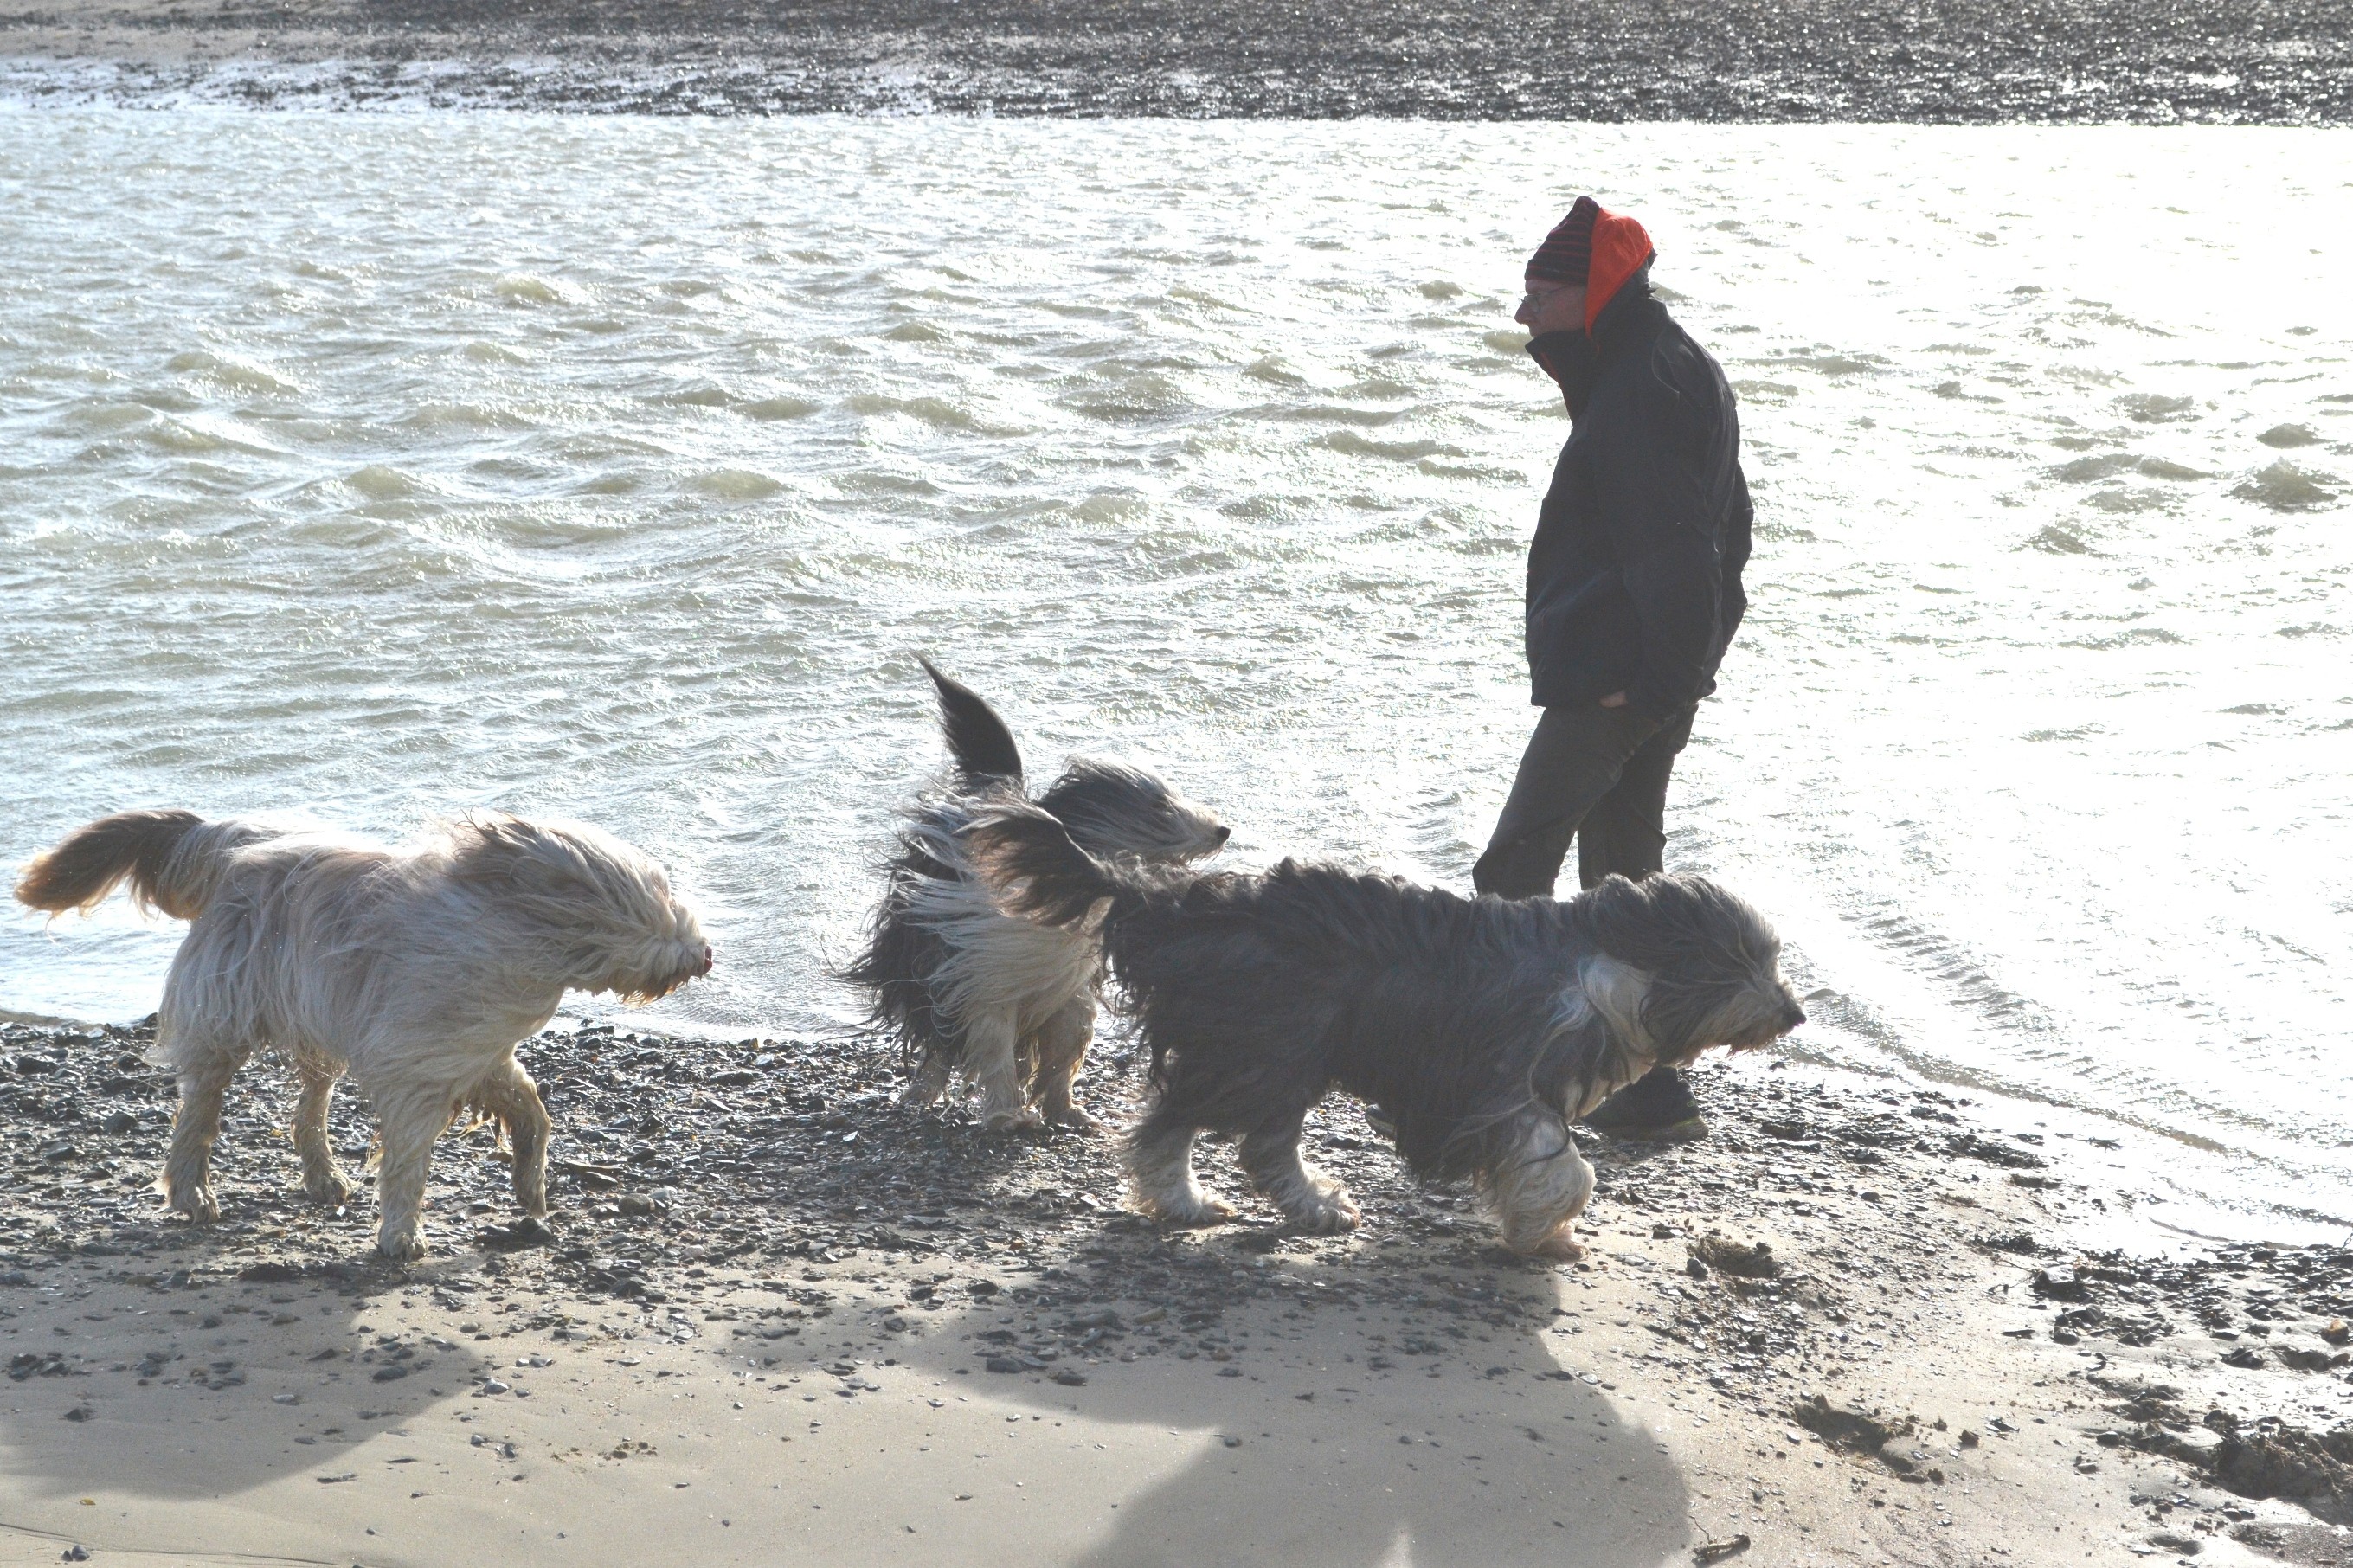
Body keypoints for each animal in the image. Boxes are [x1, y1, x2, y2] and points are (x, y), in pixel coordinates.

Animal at [13, 805, 710, 1262]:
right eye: (651, 906)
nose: (705, 955)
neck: (505, 928)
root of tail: (232, 838)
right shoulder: (417, 1064)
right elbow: (408, 1161)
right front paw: (402, 1234)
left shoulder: (476, 1049)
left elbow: (532, 1110)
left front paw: (530, 1188)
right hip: (228, 1012)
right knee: (199, 1111)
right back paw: (193, 1193)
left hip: (318, 1020)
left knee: (309, 1108)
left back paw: (322, 1176)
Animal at [842, 654, 1232, 1125]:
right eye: (1160, 807)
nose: (1223, 830)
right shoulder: (982, 978)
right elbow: (993, 1050)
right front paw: (1005, 1114)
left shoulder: (1067, 991)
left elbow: (1064, 1049)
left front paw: (1064, 1109)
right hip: (927, 969)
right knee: (936, 1045)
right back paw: (922, 1092)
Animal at [964, 805, 1807, 1262]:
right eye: (1742, 959)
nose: (1794, 1013)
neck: (1607, 966)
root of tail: (1171, 899)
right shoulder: (1502, 1083)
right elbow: (1561, 1167)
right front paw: (1547, 1235)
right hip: (1265, 1044)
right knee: (1189, 1132)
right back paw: (1194, 1203)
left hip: (1273, 1049)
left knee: (1247, 1143)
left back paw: (1306, 1208)